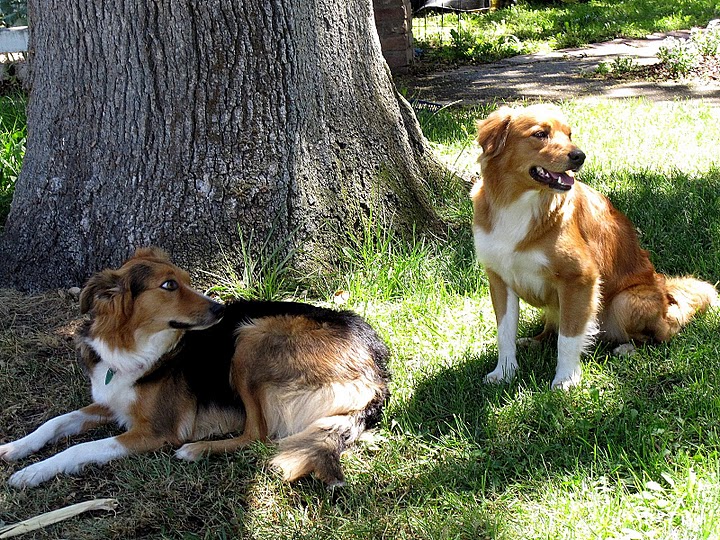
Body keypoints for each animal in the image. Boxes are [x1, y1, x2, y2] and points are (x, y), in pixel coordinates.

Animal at [0, 247, 390, 488]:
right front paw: (14, 448)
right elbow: (55, 422)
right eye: (169, 285)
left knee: (258, 435)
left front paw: (33, 472)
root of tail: (379, 369)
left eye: (185, 281)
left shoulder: (155, 431)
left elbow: (78, 449)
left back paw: (197, 450)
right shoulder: (111, 402)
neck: (134, 345)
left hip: (251, 337)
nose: (220, 309)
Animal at [472, 103, 716, 388]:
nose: (580, 156)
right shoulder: (500, 279)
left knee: (661, 334)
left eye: (569, 134)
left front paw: (565, 380)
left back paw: (626, 348)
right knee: (551, 328)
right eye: (540, 134)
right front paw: (505, 371)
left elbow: (568, 338)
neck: (517, 202)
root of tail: (666, 292)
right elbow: (505, 332)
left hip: (625, 301)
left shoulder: (580, 279)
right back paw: (534, 341)